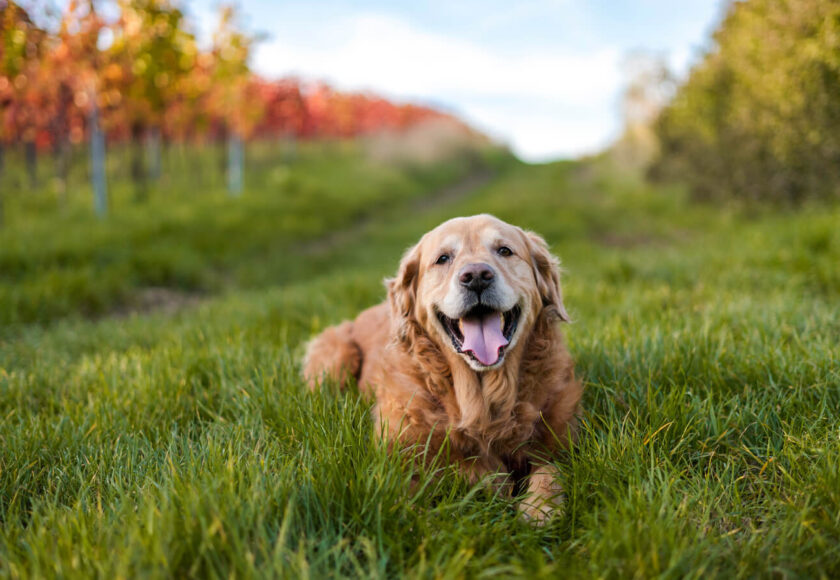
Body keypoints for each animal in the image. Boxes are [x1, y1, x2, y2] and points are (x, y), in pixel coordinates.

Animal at [304, 213, 584, 520]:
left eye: (504, 250)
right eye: (443, 258)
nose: (476, 276)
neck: (480, 402)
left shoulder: (562, 442)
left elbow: (550, 470)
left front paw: (540, 508)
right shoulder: (396, 457)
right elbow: (416, 491)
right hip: (335, 355)